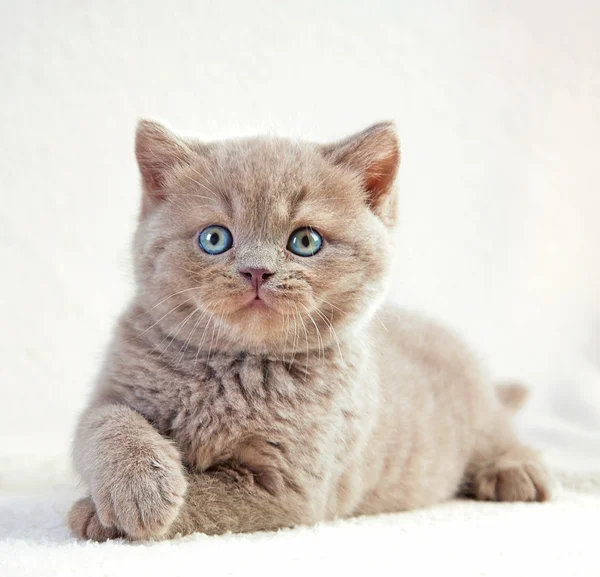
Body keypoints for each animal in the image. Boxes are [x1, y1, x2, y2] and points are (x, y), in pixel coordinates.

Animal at [68, 118, 552, 540]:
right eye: (214, 239)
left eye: (305, 242)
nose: (257, 271)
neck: (233, 368)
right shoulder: (112, 391)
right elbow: (104, 423)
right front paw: (136, 484)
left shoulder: (285, 487)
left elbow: (209, 496)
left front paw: (108, 512)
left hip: (479, 411)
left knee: (497, 432)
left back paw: (518, 471)